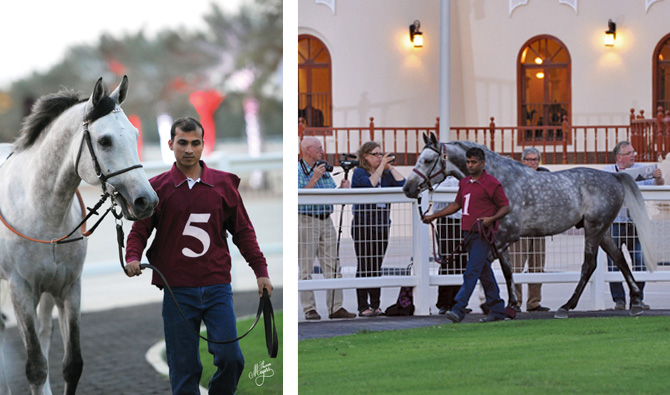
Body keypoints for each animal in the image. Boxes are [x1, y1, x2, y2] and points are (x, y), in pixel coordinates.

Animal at [0, 77, 159, 395]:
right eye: (104, 141)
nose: (146, 201)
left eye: (135, 134)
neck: (41, 211)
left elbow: (72, 364)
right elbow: (35, 366)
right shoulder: (20, 289)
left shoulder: (69, 287)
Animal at [404, 135, 656, 320]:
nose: (408, 188)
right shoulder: (497, 238)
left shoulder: (506, 235)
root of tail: (614, 177)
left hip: (594, 229)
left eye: (428, 160)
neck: (501, 181)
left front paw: (496, 305)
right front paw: (506, 305)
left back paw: (566, 307)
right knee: (619, 259)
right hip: (602, 231)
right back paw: (636, 302)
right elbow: (501, 270)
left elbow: (490, 268)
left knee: (589, 265)